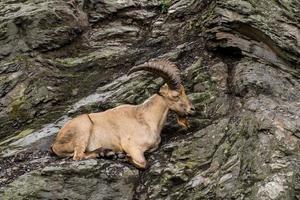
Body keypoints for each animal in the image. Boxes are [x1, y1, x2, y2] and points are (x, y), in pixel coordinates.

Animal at [51, 59, 196, 169]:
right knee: (78, 156)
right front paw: (123, 157)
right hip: (83, 127)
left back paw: (106, 153)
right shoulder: (131, 146)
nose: (192, 109)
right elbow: (143, 163)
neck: (146, 118)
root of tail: (56, 143)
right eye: (175, 95)